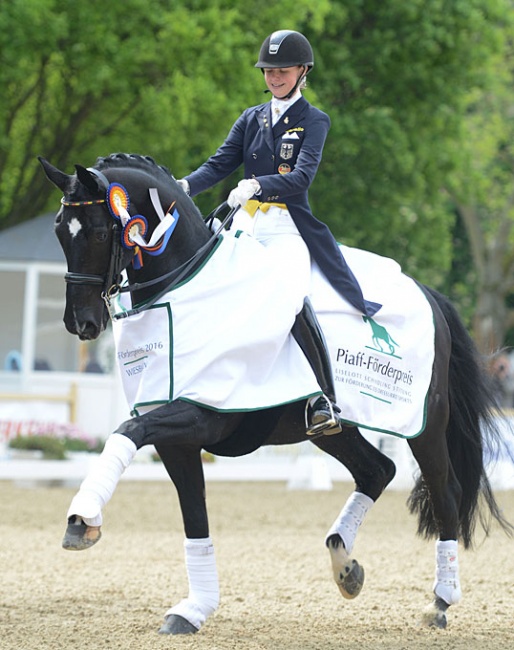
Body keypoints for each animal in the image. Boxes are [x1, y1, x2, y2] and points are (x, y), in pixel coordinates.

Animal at [39, 153, 508, 632]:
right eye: (59, 229)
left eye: (99, 232)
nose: (81, 323)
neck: (187, 289)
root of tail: (428, 294)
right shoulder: (178, 439)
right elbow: (193, 516)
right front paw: (193, 609)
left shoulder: (202, 414)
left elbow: (126, 432)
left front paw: (82, 518)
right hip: (335, 430)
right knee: (377, 470)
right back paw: (345, 565)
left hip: (426, 425)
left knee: (445, 492)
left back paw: (440, 600)